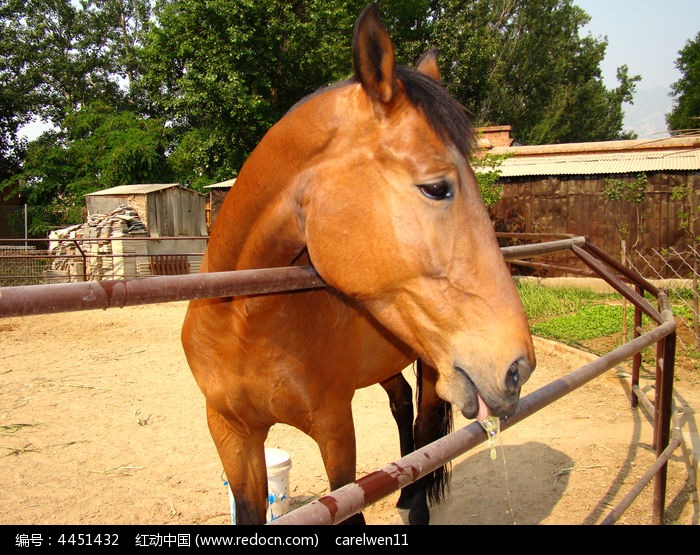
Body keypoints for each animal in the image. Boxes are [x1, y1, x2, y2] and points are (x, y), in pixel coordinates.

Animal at [180, 4, 536, 524]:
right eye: (436, 187)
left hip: (434, 369)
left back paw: (415, 503)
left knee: (425, 431)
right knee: (402, 406)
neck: (243, 323)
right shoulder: (231, 435)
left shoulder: (334, 430)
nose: (518, 367)